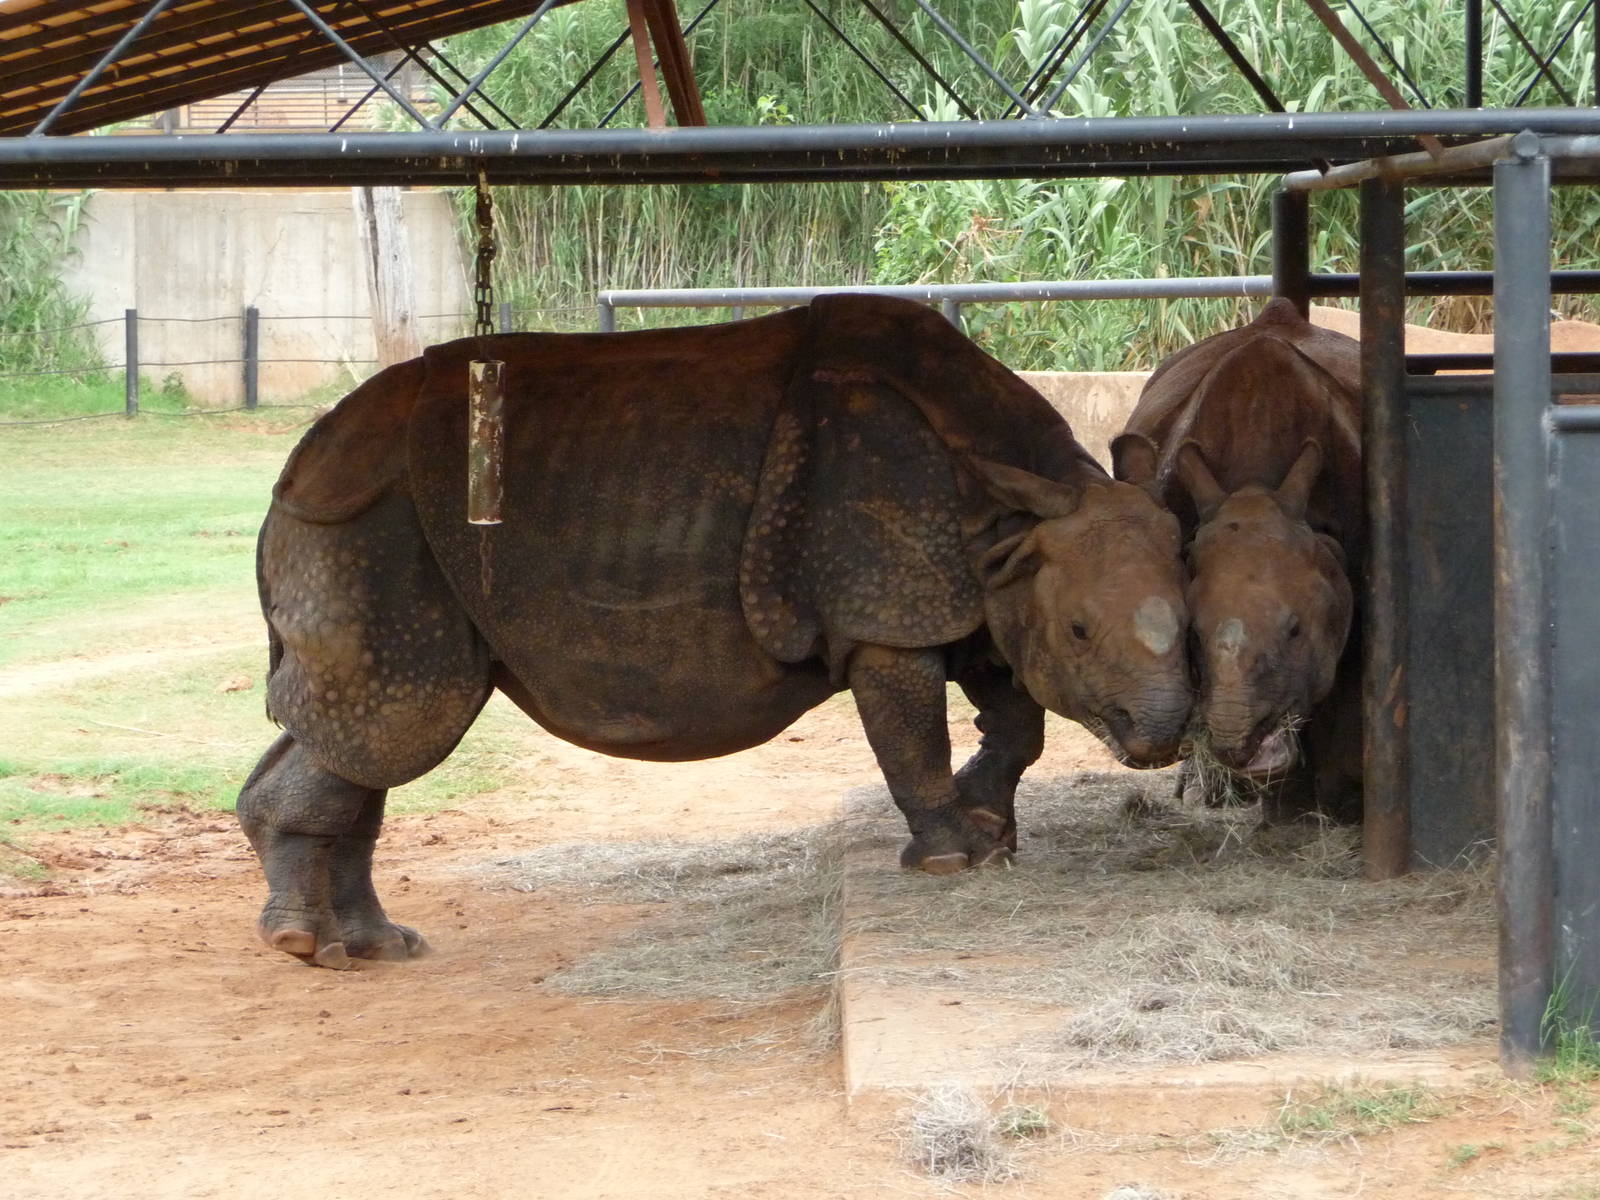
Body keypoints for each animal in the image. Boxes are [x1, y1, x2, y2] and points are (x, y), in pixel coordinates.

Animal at [237, 294, 1192, 969]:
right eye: (1080, 630)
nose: (1161, 734)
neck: (1012, 515)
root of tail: (283, 481)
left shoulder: (981, 591)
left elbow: (1017, 717)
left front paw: (991, 822)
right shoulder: (889, 608)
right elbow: (911, 730)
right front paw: (956, 857)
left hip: (366, 523)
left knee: (363, 738)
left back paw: (368, 948)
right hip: (370, 525)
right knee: (403, 718)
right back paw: (314, 948)